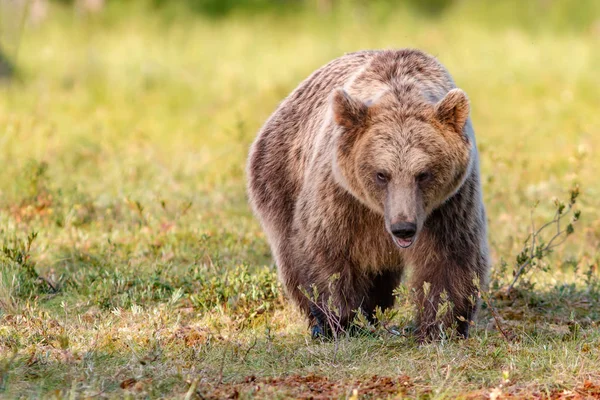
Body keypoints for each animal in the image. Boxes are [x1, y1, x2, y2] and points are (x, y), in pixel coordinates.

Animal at [246, 48, 490, 340]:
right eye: (381, 174)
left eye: (423, 174)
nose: (403, 228)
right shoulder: (339, 196)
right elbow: (325, 252)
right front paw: (336, 321)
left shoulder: (450, 204)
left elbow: (450, 260)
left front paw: (441, 326)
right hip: (279, 174)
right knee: (290, 255)